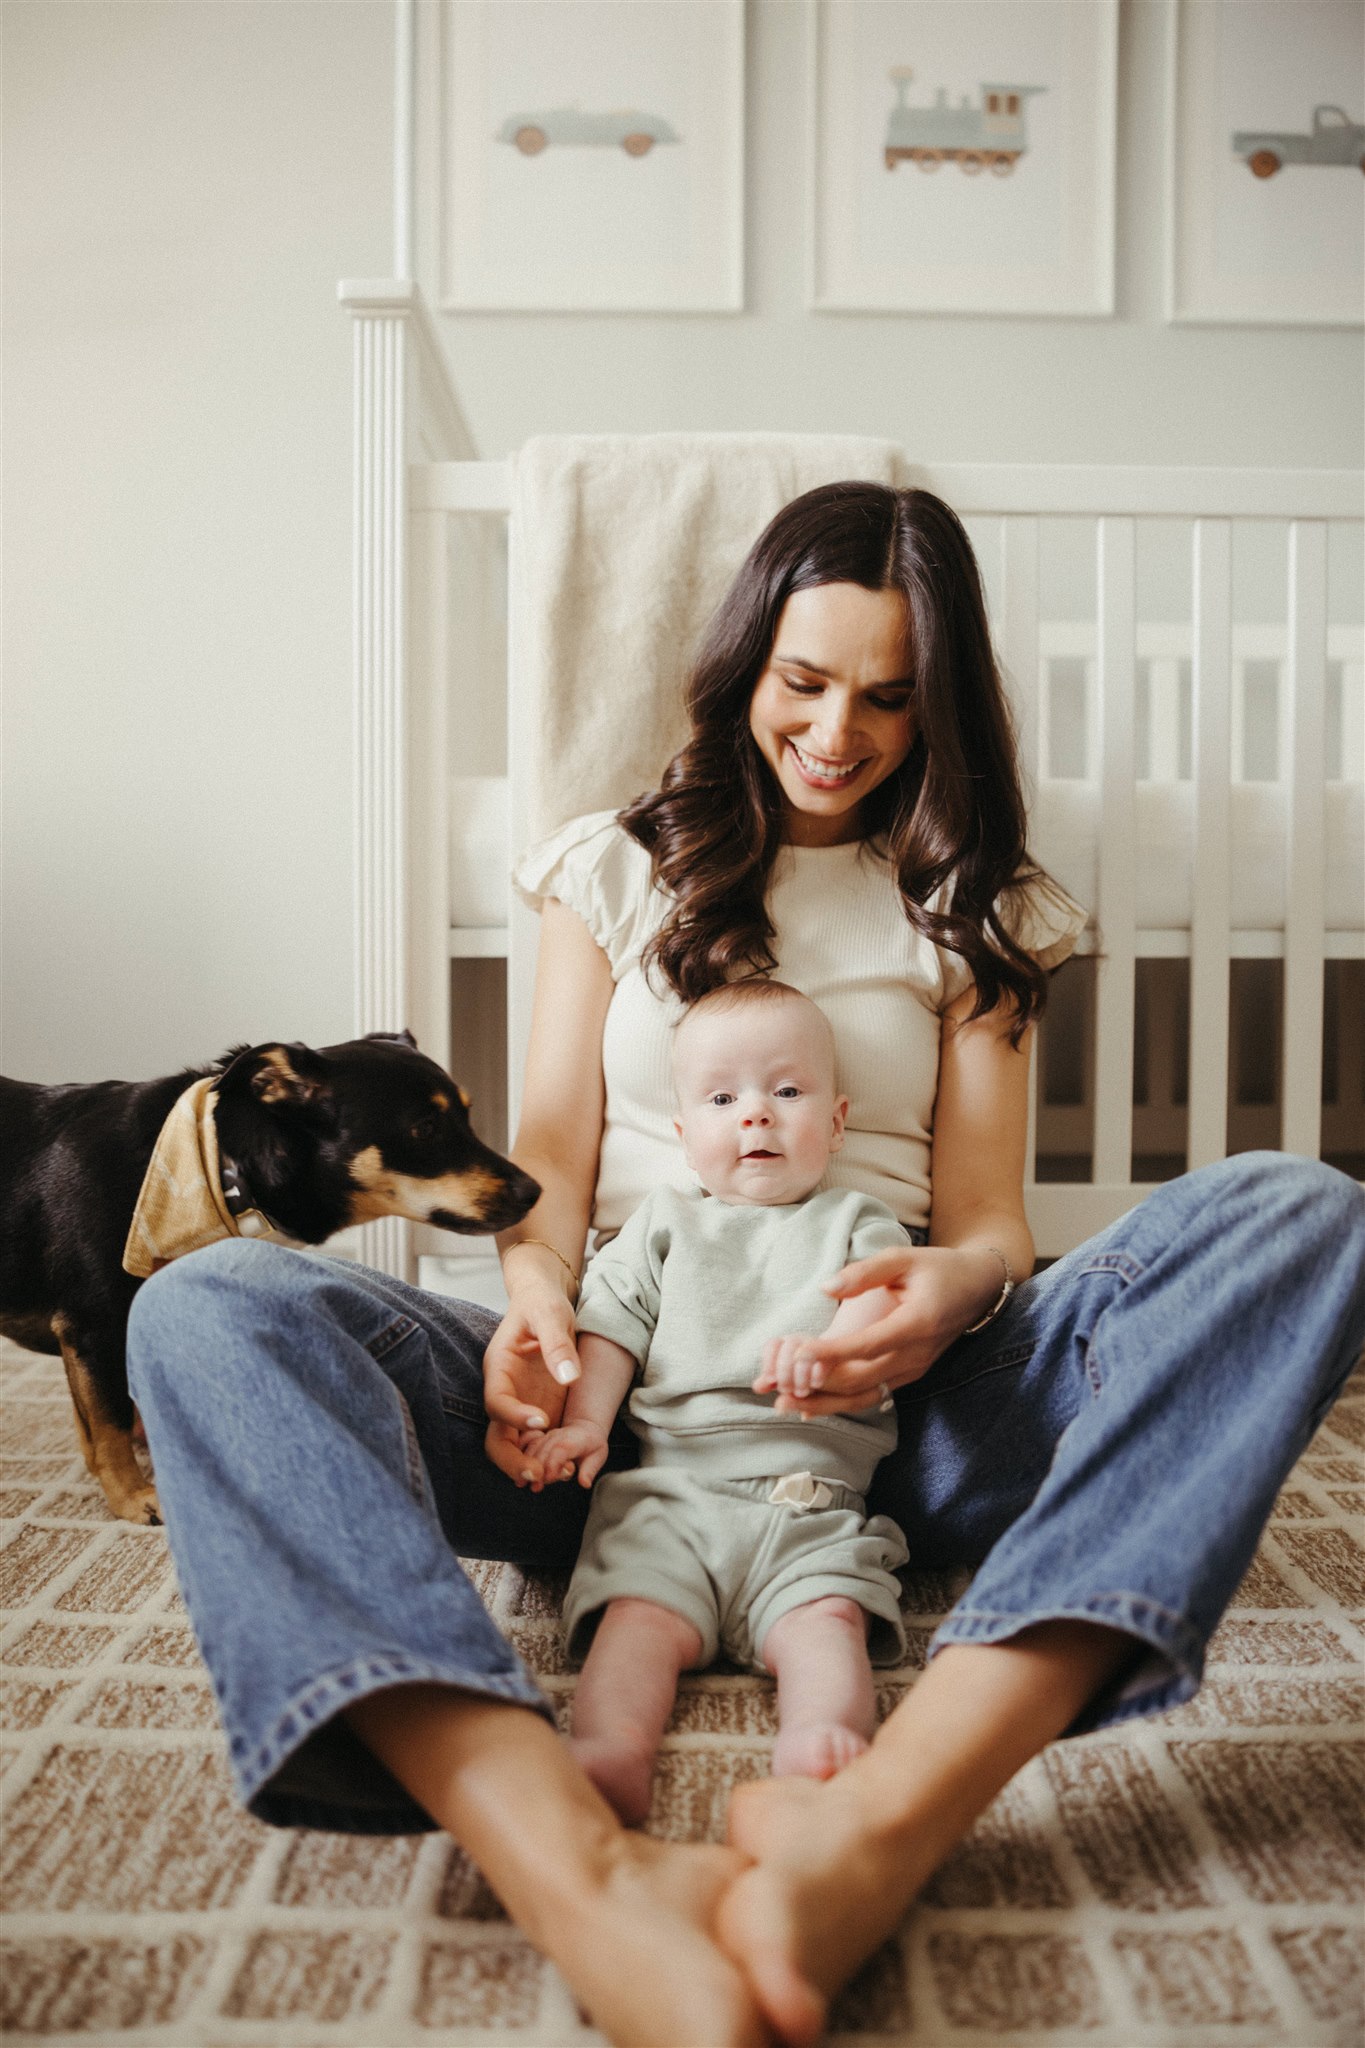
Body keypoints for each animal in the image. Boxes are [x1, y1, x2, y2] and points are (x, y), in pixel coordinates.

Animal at [0, 1040, 544, 1523]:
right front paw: (135, 1499)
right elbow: (108, 1426)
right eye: (425, 1129)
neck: (217, 1166)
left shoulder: (84, 1340)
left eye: (467, 1118)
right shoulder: (93, 1326)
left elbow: (92, 1421)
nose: (535, 1191)